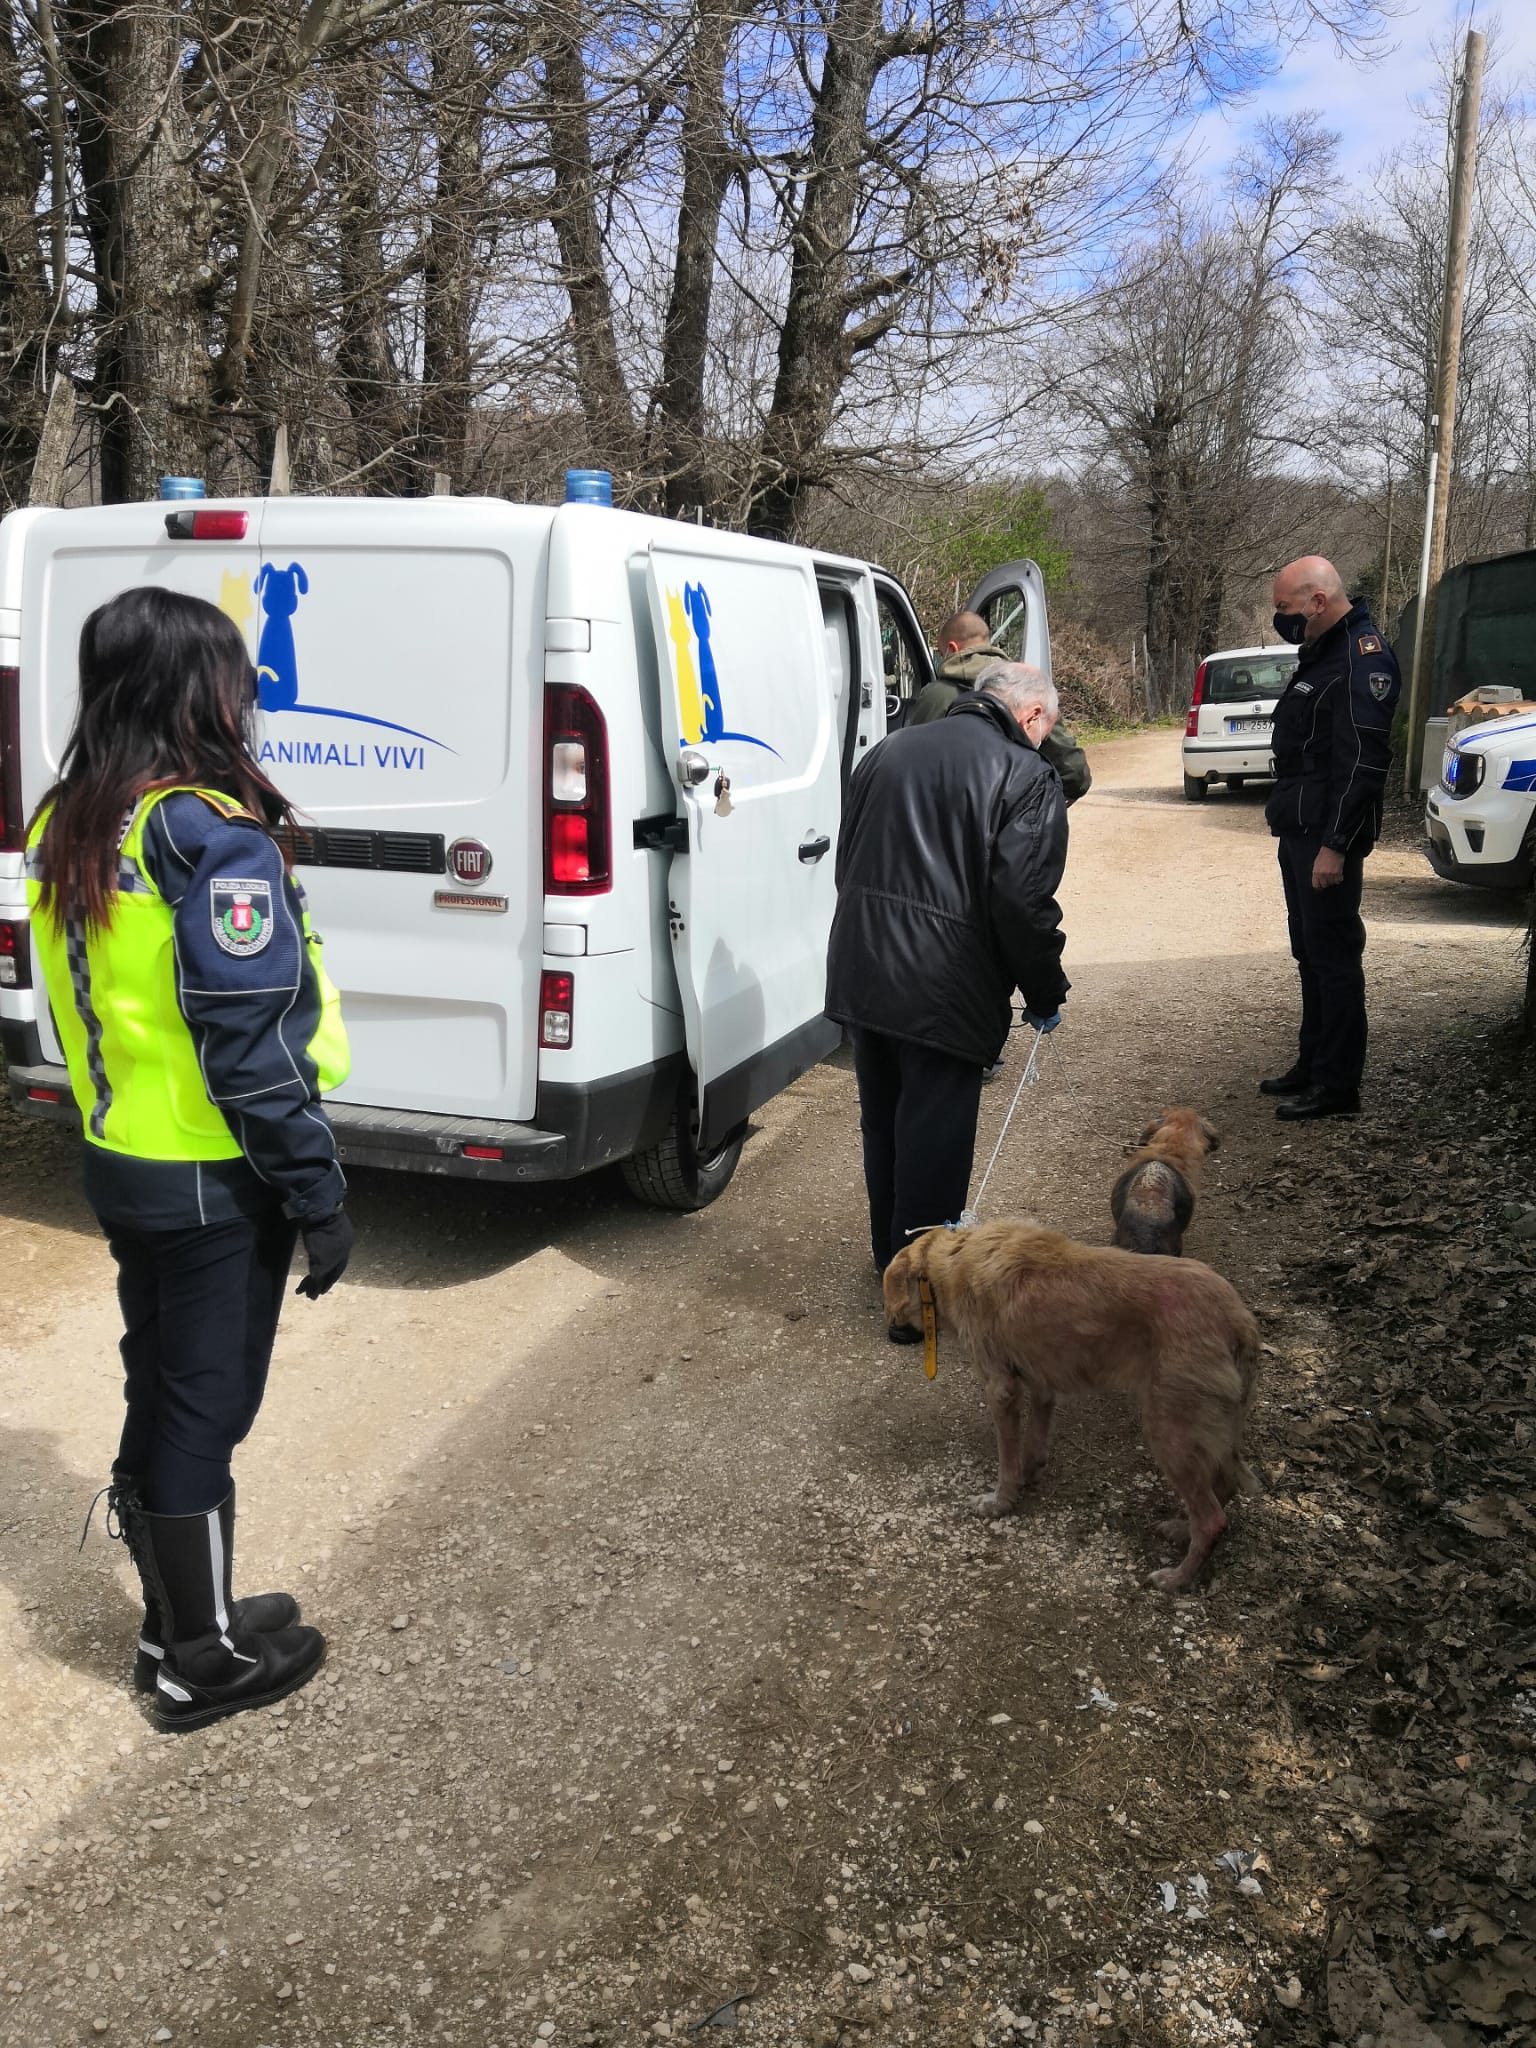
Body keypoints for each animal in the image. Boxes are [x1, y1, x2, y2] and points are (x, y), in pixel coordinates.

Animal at [888, 1220, 1261, 1589]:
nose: (894, 1326)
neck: (953, 1257)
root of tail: (1238, 1318)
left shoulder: (1001, 1390)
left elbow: (1007, 1460)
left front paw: (1000, 1501)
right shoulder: (1041, 1381)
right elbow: (1034, 1441)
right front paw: (1027, 1475)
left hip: (1171, 1433)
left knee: (1212, 1519)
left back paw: (1177, 1577)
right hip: (1210, 1427)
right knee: (1223, 1488)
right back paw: (1183, 1530)